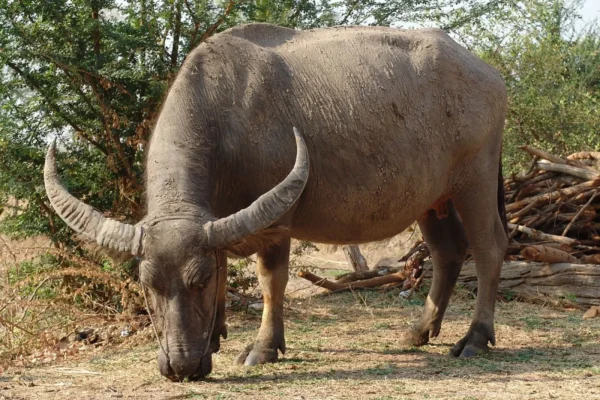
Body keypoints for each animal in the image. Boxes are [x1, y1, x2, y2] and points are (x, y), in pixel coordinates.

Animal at [44, 22, 508, 382]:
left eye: (198, 282)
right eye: (148, 284)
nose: (181, 366)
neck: (227, 120)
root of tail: (488, 73)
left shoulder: (276, 221)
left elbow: (271, 281)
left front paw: (263, 347)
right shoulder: (217, 219)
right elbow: (224, 261)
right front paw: (216, 334)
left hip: (477, 182)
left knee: (488, 248)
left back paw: (474, 337)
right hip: (433, 199)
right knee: (448, 252)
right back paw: (418, 331)